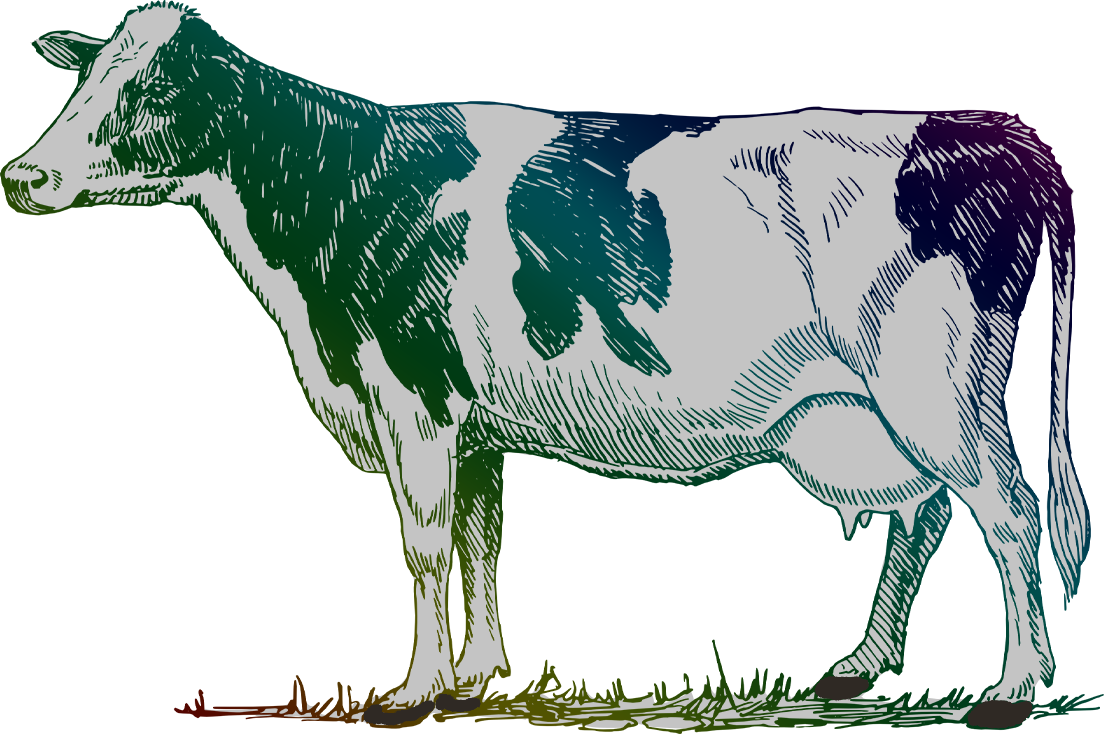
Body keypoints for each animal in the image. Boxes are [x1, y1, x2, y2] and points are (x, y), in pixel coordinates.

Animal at [1, 2, 1088, 729]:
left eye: (149, 91)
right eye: (82, 80)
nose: (22, 175)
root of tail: (985, 126)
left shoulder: (412, 398)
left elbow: (426, 546)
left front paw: (407, 692)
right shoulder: (475, 421)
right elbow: (483, 544)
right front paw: (478, 680)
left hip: (935, 383)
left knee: (1008, 511)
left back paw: (1010, 689)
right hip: (888, 403)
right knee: (929, 513)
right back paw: (862, 664)